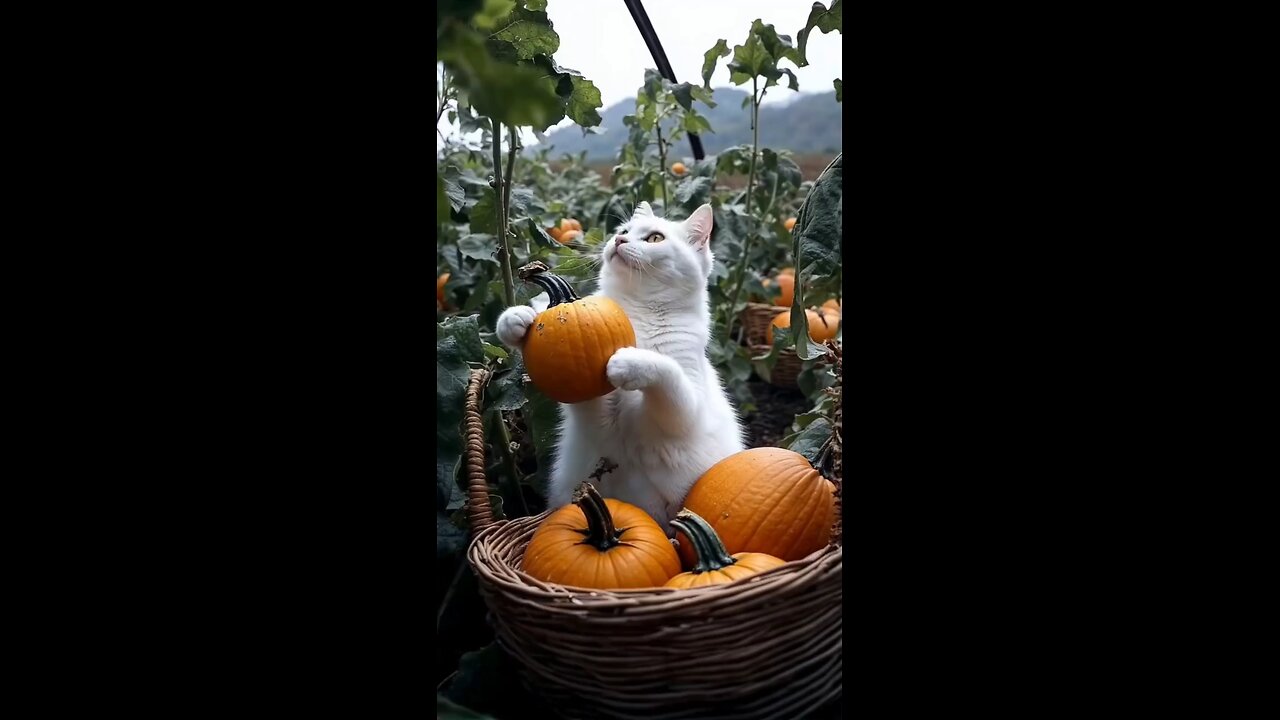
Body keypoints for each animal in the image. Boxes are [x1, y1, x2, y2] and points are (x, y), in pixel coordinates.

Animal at [494, 198, 747, 530]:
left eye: (655, 238)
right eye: (624, 231)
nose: (618, 241)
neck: (638, 311)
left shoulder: (685, 412)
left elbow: (665, 371)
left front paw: (628, 362)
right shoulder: (594, 411)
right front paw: (517, 318)